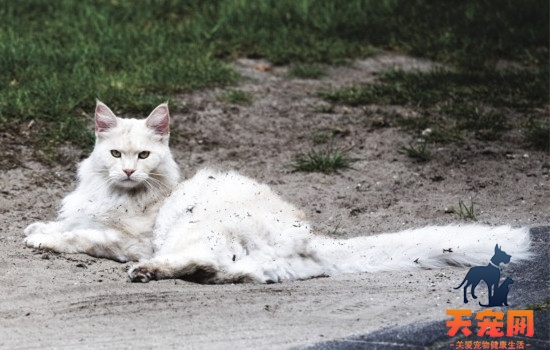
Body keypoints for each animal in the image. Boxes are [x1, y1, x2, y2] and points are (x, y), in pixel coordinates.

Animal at [23, 101, 532, 284]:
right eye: (115, 154)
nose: (128, 171)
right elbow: (72, 223)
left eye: (144, 156)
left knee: (205, 261)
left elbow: (81, 236)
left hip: (190, 229)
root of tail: (311, 239)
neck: (119, 194)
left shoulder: (128, 239)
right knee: (236, 273)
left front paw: (39, 236)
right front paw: (42, 225)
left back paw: (147, 272)